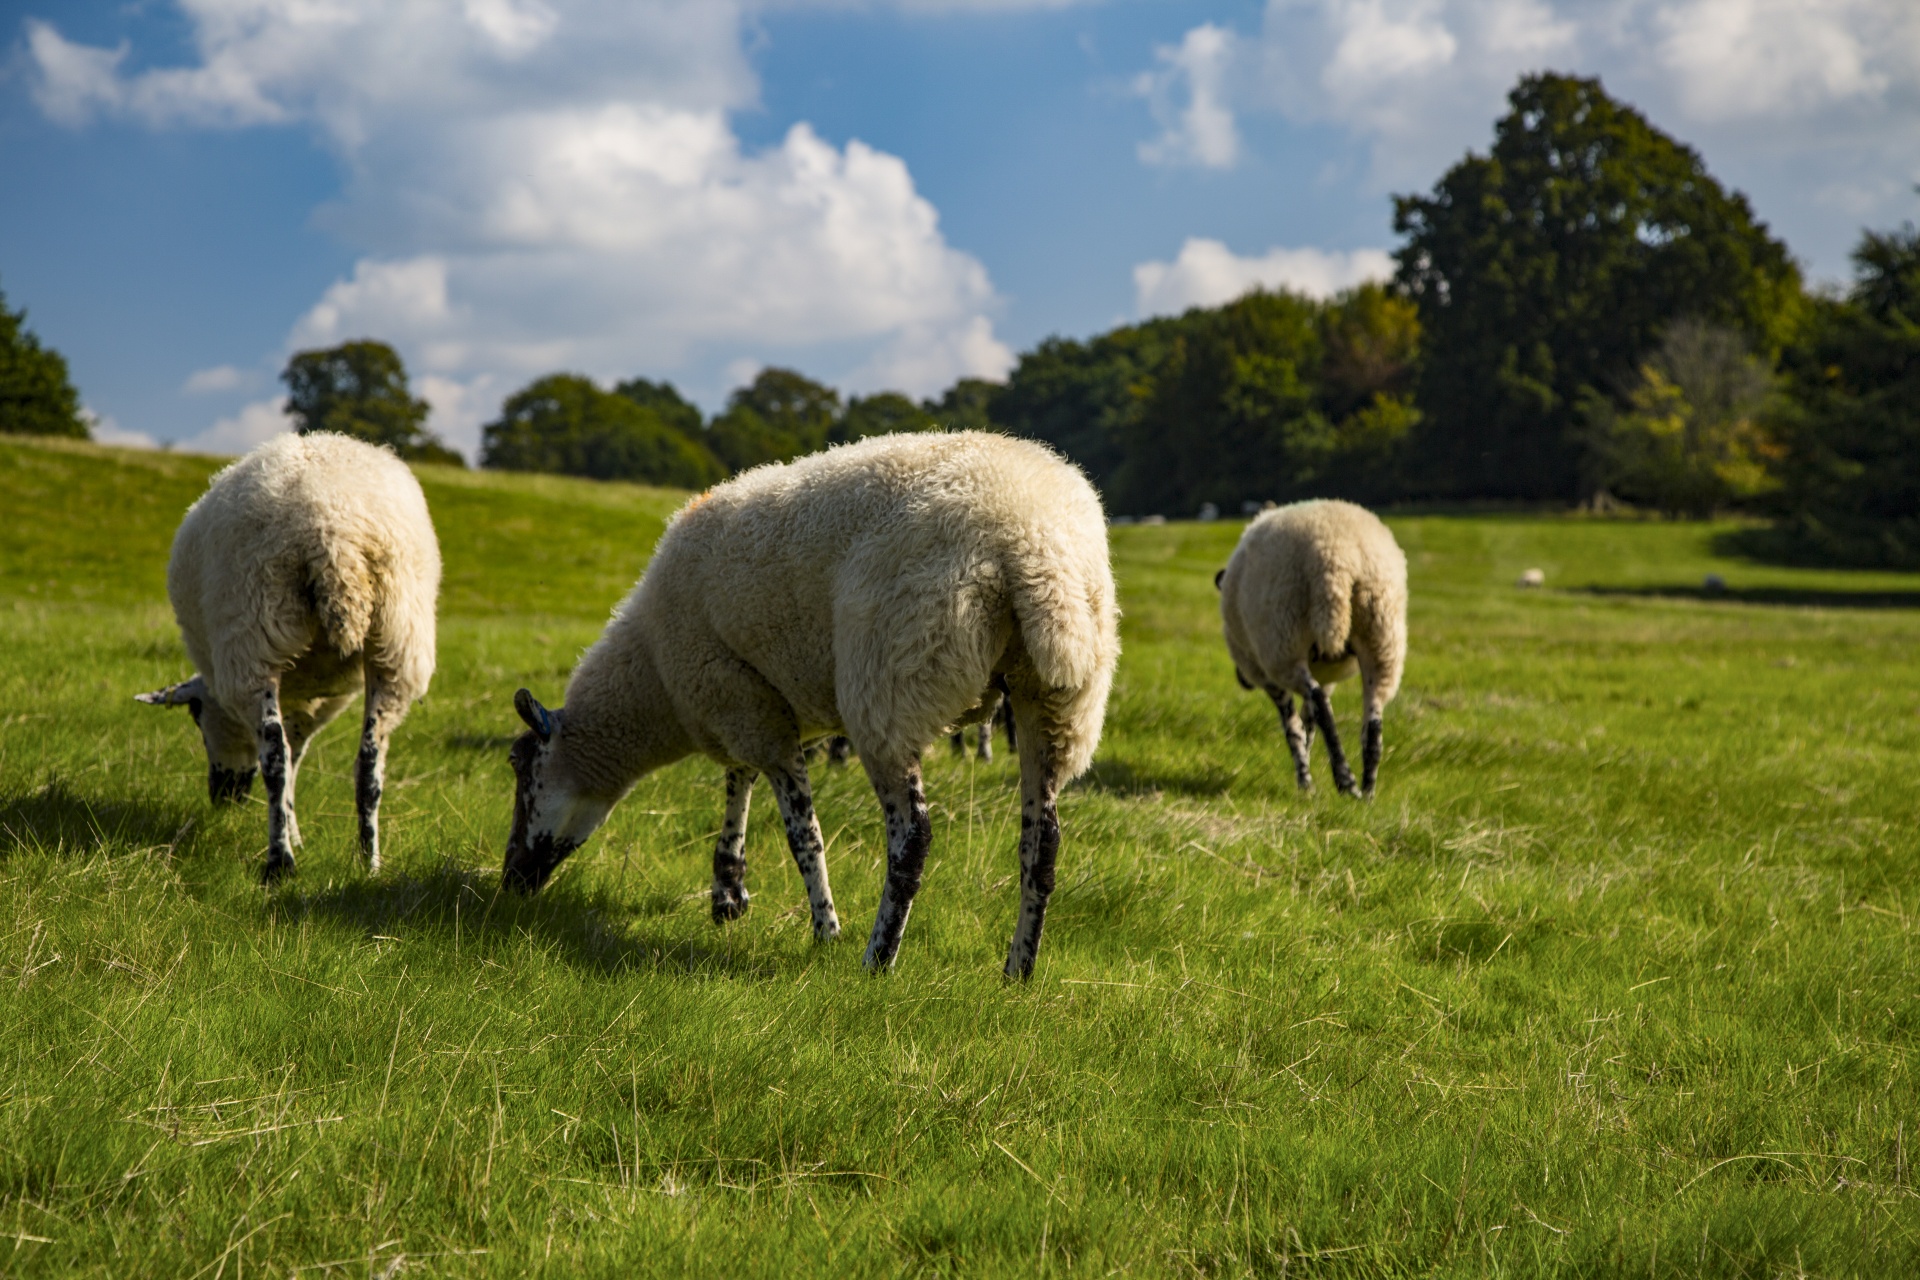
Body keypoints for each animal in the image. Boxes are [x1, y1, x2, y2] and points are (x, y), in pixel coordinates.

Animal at [503, 429, 1121, 982]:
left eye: (519, 766)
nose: (510, 882)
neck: (653, 678)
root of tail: (1034, 548)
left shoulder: (739, 698)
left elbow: (802, 831)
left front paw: (824, 928)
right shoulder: (752, 700)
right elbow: (739, 779)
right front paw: (728, 890)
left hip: (891, 686)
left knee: (912, 840)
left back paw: (877, 961)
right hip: (1058, 700)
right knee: (1042, 845)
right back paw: (1018, 972)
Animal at [1221, 498, 1405, 790]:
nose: (1242, 679)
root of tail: (1338, 561)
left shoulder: (1270, 676)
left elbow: (1294, 728)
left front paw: (1304, 781)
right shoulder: (1327, 676)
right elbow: (1309, 722)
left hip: (1284, 643)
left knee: (1319, 705)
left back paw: (1345, 781)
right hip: (1382, 636)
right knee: (1371, 720)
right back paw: (1367, 789)